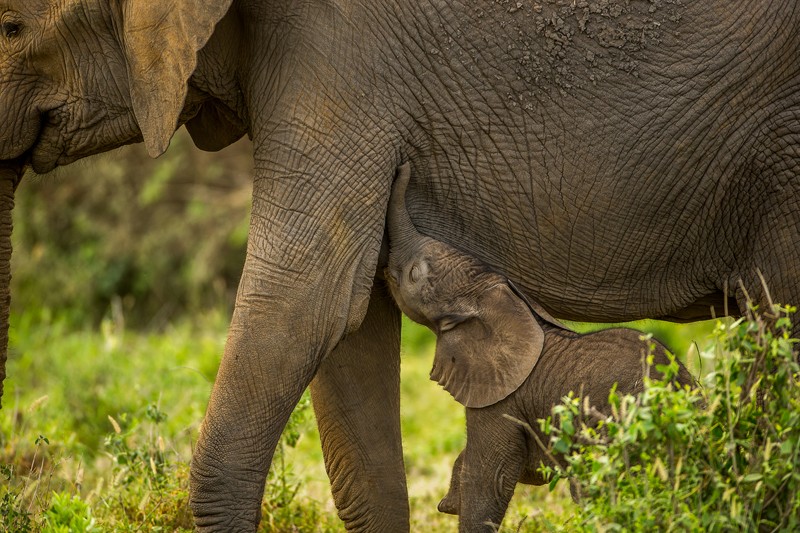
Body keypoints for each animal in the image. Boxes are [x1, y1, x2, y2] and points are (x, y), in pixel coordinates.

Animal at [382, 164, 692, 528]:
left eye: (414, 273)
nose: (403, 168)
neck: (495, 298)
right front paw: (450, 502)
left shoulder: (500, 400)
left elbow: (490, 478)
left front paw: (452, 504)